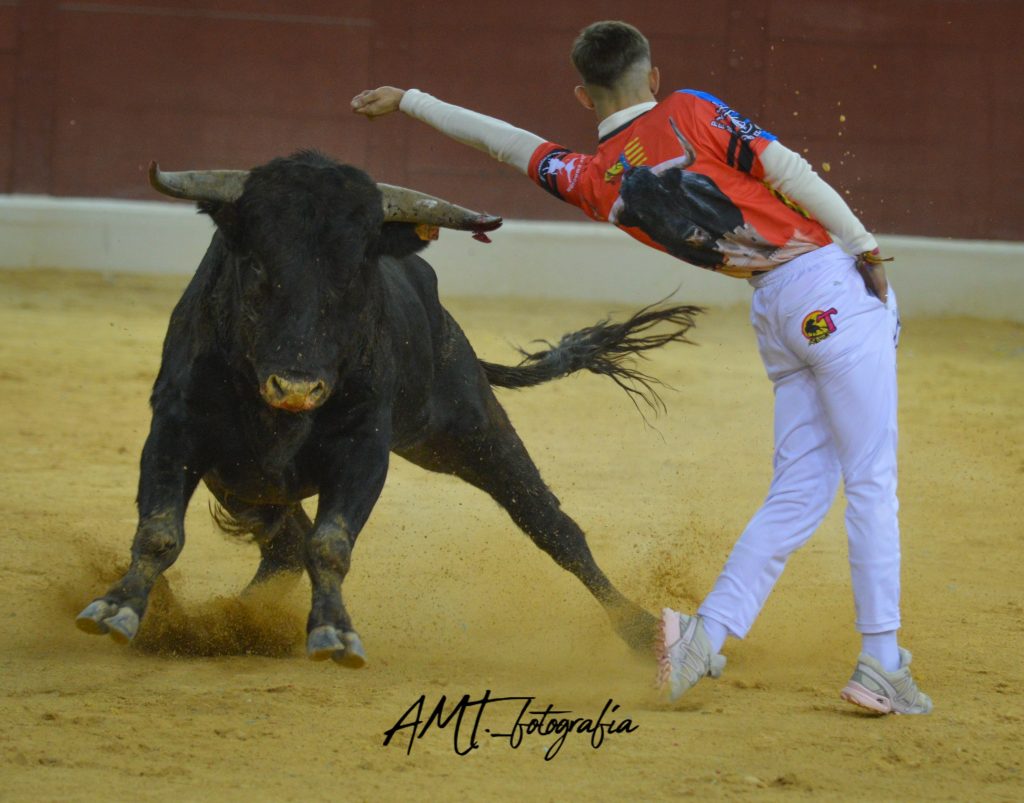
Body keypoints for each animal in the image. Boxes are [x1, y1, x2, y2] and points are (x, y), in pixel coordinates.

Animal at [76, 150, 702, 667]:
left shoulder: (362, 450)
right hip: (243, 480)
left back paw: (642, 631)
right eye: (254, 264)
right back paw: (234, 619)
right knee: (283, 543)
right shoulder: (177, 429)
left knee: (552, 526)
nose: (296, 386)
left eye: (356, 270)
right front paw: (117, 608)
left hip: (469, 427)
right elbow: (160, 532)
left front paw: (334, 633)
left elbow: (331, 544)